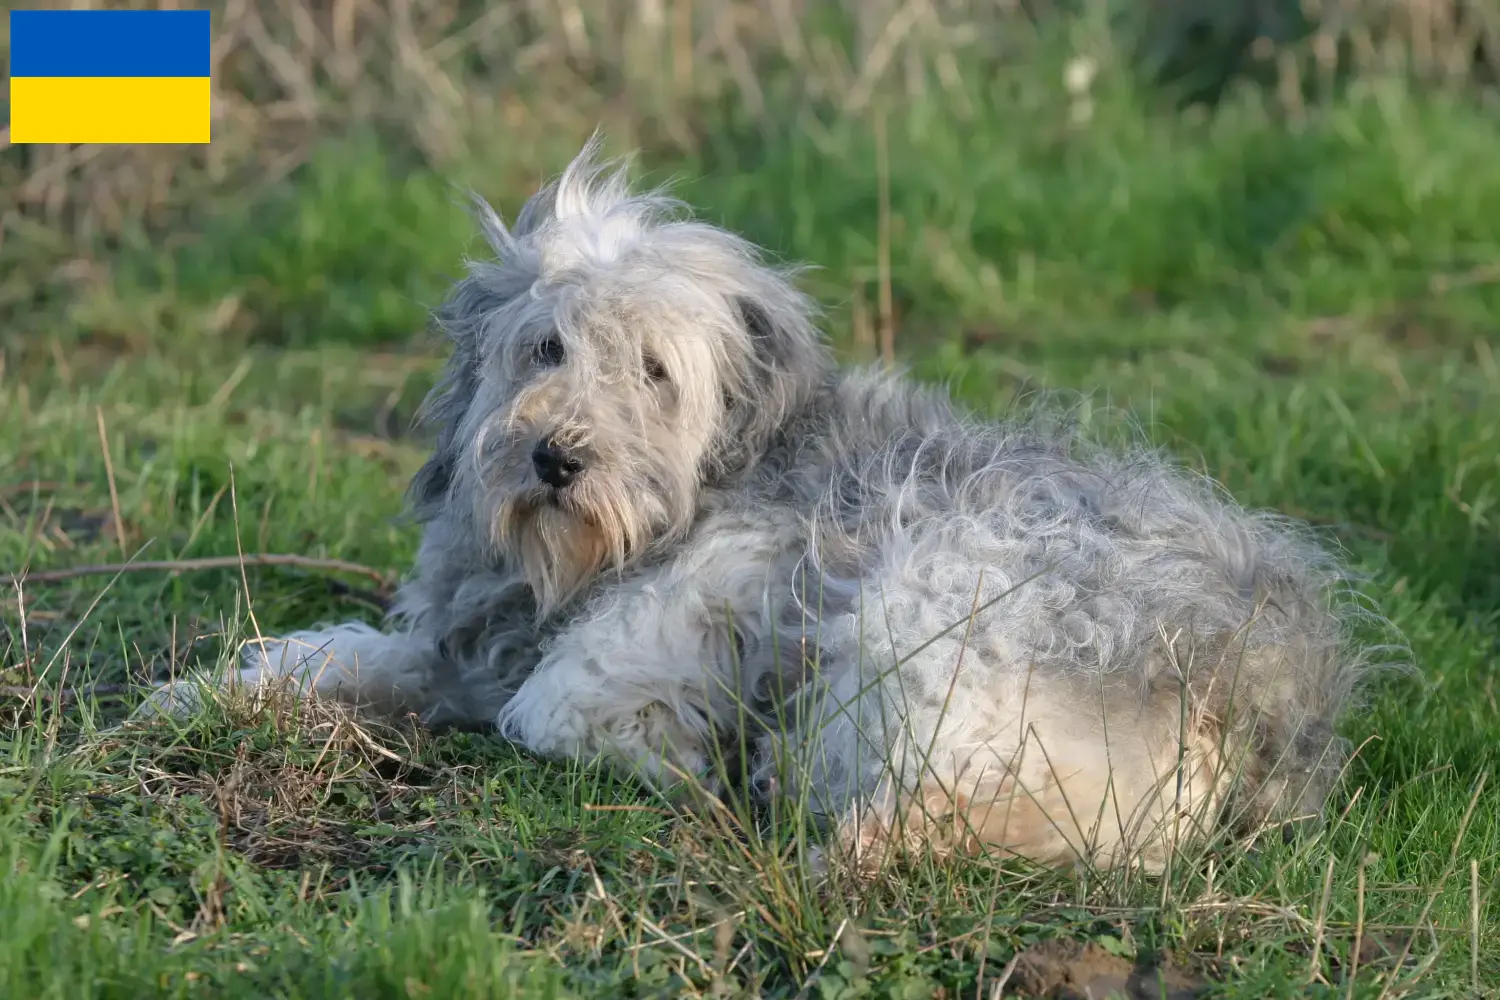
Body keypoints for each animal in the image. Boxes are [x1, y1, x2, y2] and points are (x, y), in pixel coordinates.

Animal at [141, 137, 1380, 869]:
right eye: (546, 345)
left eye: (654, 370)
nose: (553, 458)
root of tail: (1258, 687)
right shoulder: (471, 642)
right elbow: (347, 656)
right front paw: (204, 694)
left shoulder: (739, 571)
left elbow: (554, 703)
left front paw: (666, 757)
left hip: (936, 603)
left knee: (953, 797)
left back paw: (853, 833)